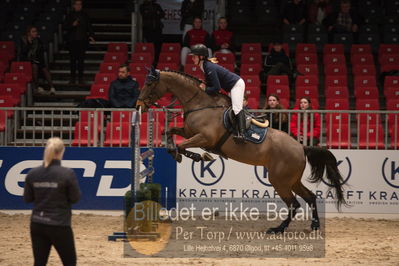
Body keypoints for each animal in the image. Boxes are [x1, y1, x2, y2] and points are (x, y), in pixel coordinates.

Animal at [138, 68, 346, 233]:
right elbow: (169, 132)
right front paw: (184, 153)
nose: (139, 106)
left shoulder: (204, 137)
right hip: (291, 180)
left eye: (148, 83)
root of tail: (301, 147)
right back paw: (314, 225)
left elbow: (181, 146)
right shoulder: (189, 132)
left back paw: (278, 228)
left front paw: (199, 156)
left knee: (294, 204)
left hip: (279, 180)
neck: (200, 104)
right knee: (309, 197)